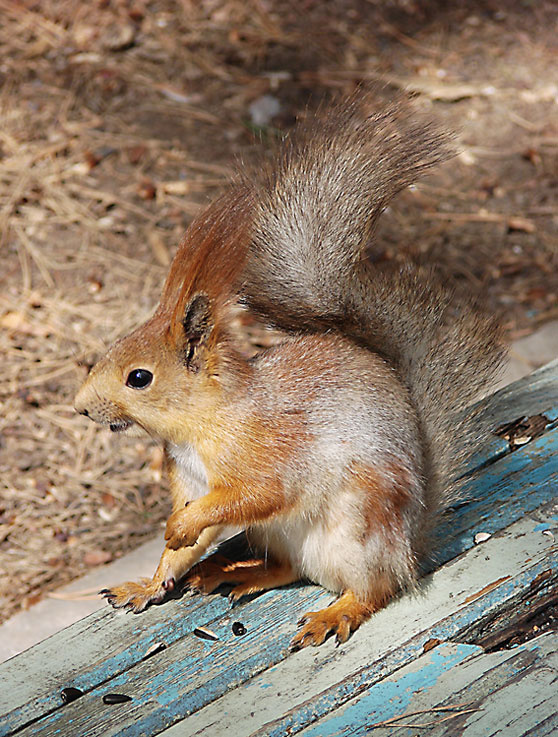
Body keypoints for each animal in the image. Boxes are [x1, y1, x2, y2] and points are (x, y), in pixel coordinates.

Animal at [74, 92, 505, 649]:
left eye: (139, 378)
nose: (81, 407)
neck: (200, 423)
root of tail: (411, 545)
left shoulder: (270, 452)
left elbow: (258, 495)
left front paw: (182, 528)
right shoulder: (189, 480)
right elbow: (182, 546)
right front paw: (150, 582)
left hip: (361, 530)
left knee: (376, 589)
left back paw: (334, 611)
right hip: (277, 534)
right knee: (290, 569)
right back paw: (238, 572)